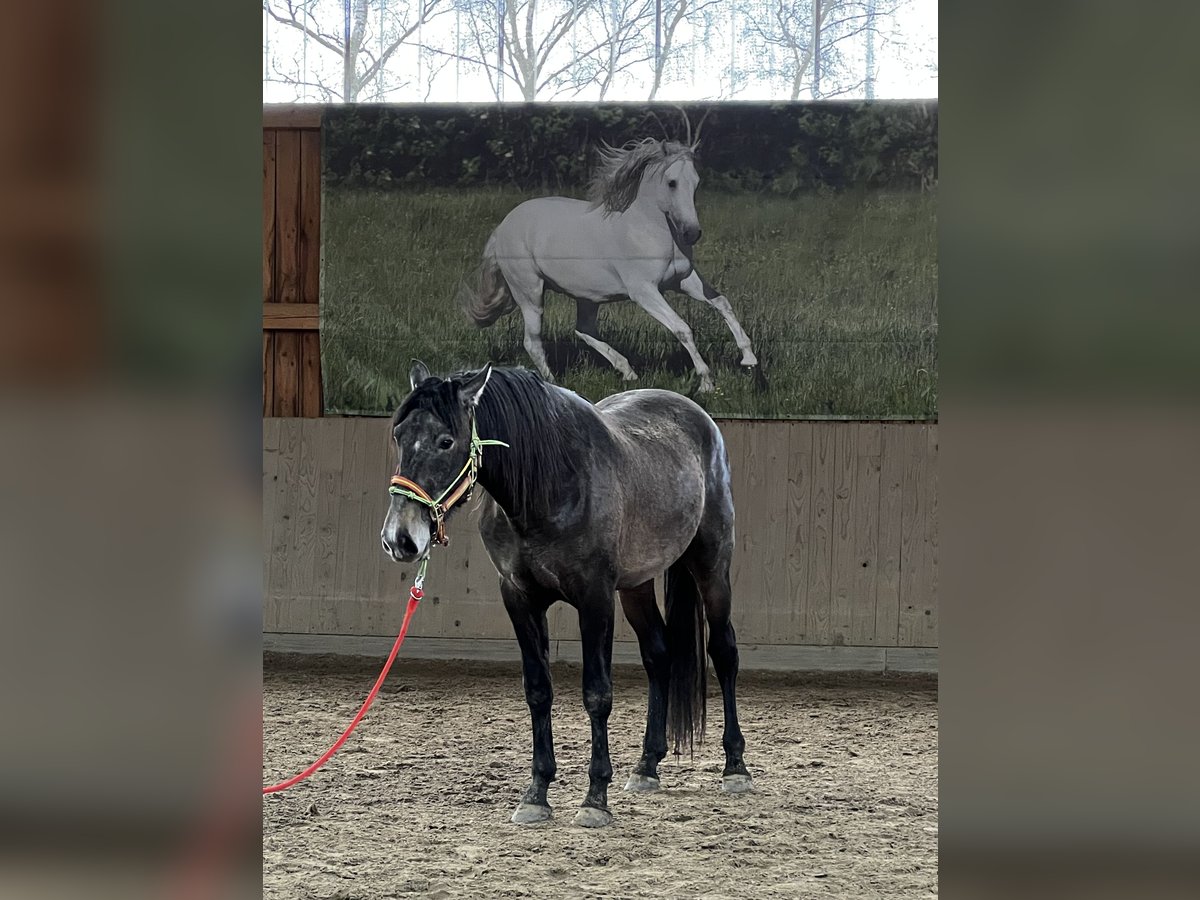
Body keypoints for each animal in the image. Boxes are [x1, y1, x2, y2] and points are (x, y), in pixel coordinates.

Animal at [379, 362, 748, 830]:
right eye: (398, 435)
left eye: (446, 440)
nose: (400, 538)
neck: (550, 485)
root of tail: (698, 417)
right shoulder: (519, 599)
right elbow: (538, 690)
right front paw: (536, 793)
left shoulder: (595, 599)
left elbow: (597, 693)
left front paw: (595, 798)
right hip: (636, 586)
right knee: (659, 656)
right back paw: (647, 765)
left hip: (711, 566)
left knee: (724, 652)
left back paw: (735, 767)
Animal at [460, 137, 753, 391]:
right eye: (672, 183)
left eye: (696, 182)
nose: (692, 233)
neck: (650, 231)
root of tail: (502, 228)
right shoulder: (644, 291)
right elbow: (682, 329)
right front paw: (706, 382)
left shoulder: (683, 281)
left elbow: (721, 302)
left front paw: (749, 360)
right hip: (530, 292)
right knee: (533, 341)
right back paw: (554, 383)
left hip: (587, 297)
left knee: (583, 329)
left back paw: (628, 371)